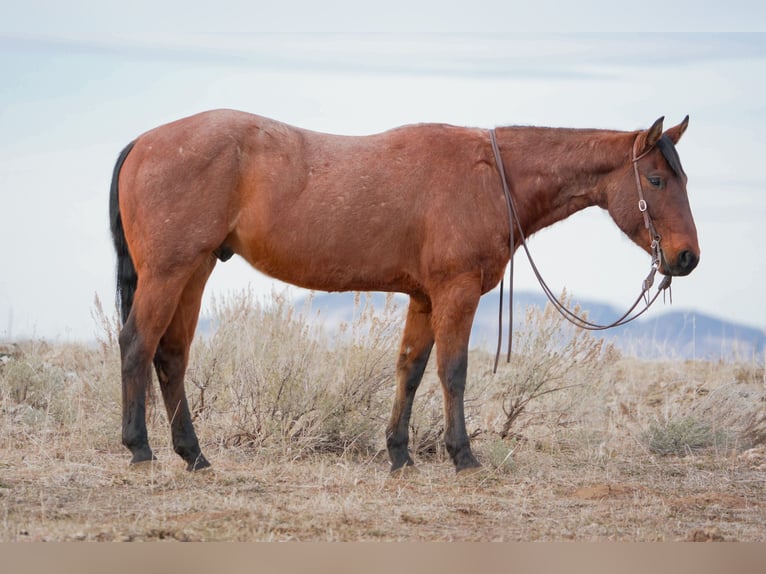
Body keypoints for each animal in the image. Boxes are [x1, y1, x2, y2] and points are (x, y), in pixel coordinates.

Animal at [109, 110, 699, 474]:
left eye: (684, 179)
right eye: (655, 180)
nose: (686, 257)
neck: (491, 177)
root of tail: (144, 142)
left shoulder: (424, 297)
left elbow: (410, 369)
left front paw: (399, 454)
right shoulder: (457, 293)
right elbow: (452, 371)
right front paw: (463, 456)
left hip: (195, 271)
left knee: (171, 356)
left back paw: (193, 455)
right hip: (169, 272)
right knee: (138, 344)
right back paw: (140, 449)